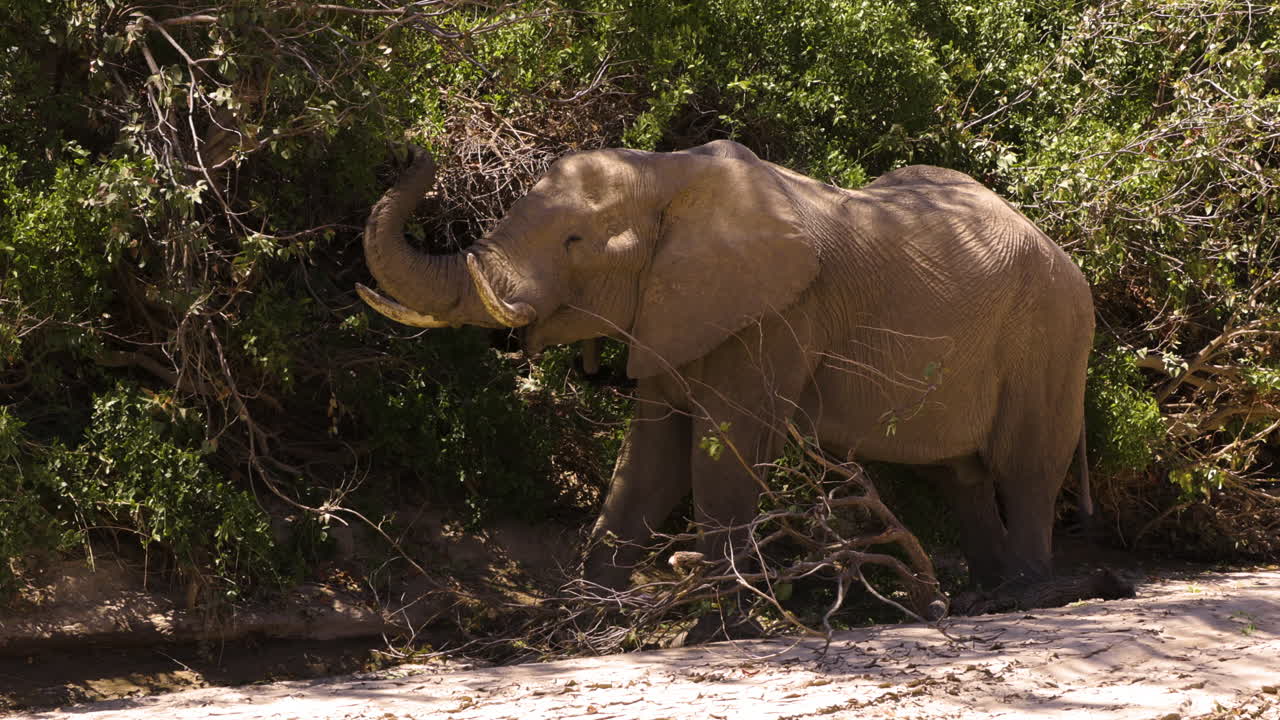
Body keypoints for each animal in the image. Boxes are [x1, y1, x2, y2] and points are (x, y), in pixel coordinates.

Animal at [357, 139, 1095, 595]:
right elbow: (646, 462)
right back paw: (983, 594)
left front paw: (716, 618)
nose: (412, 152)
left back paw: (1024, 595)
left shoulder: (778, 314)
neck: (668, 175)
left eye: (573, 241)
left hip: (1053, 335)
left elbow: (724, 449)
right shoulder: (669, 309)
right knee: (962, 477)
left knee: (1026, 468)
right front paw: (583, 617)